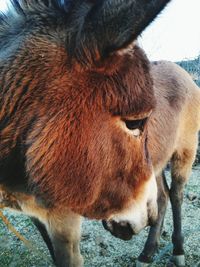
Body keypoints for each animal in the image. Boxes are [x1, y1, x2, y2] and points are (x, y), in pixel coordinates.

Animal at [103, 61, 200, 267]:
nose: (121, 228)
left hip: (185, 150)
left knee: (176, 195)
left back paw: (177, 250)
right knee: (162, 197)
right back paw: (148, 253)